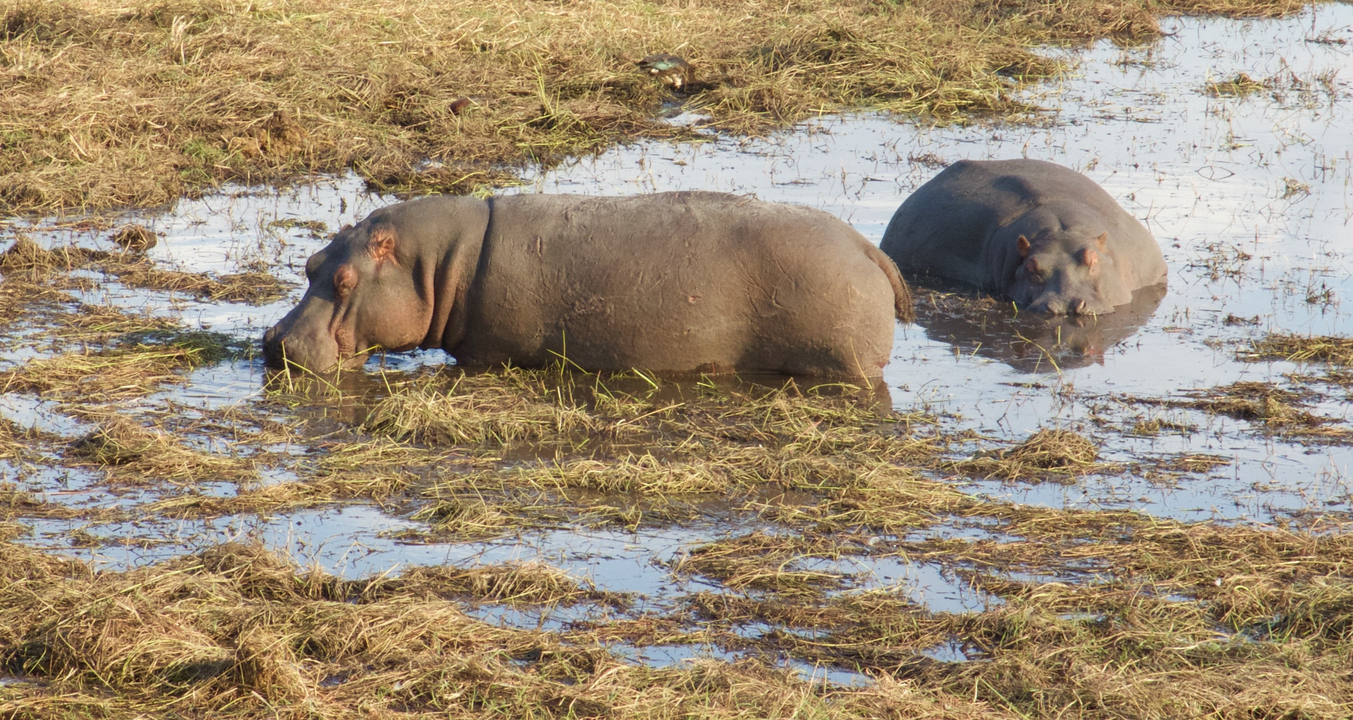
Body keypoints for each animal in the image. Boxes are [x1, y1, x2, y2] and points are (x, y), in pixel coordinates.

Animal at [263, 191, 913, 378]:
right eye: (310, 264)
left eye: (344, 279)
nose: (272, 340)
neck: (441, 262)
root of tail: (870, 250)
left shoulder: (487, 352)